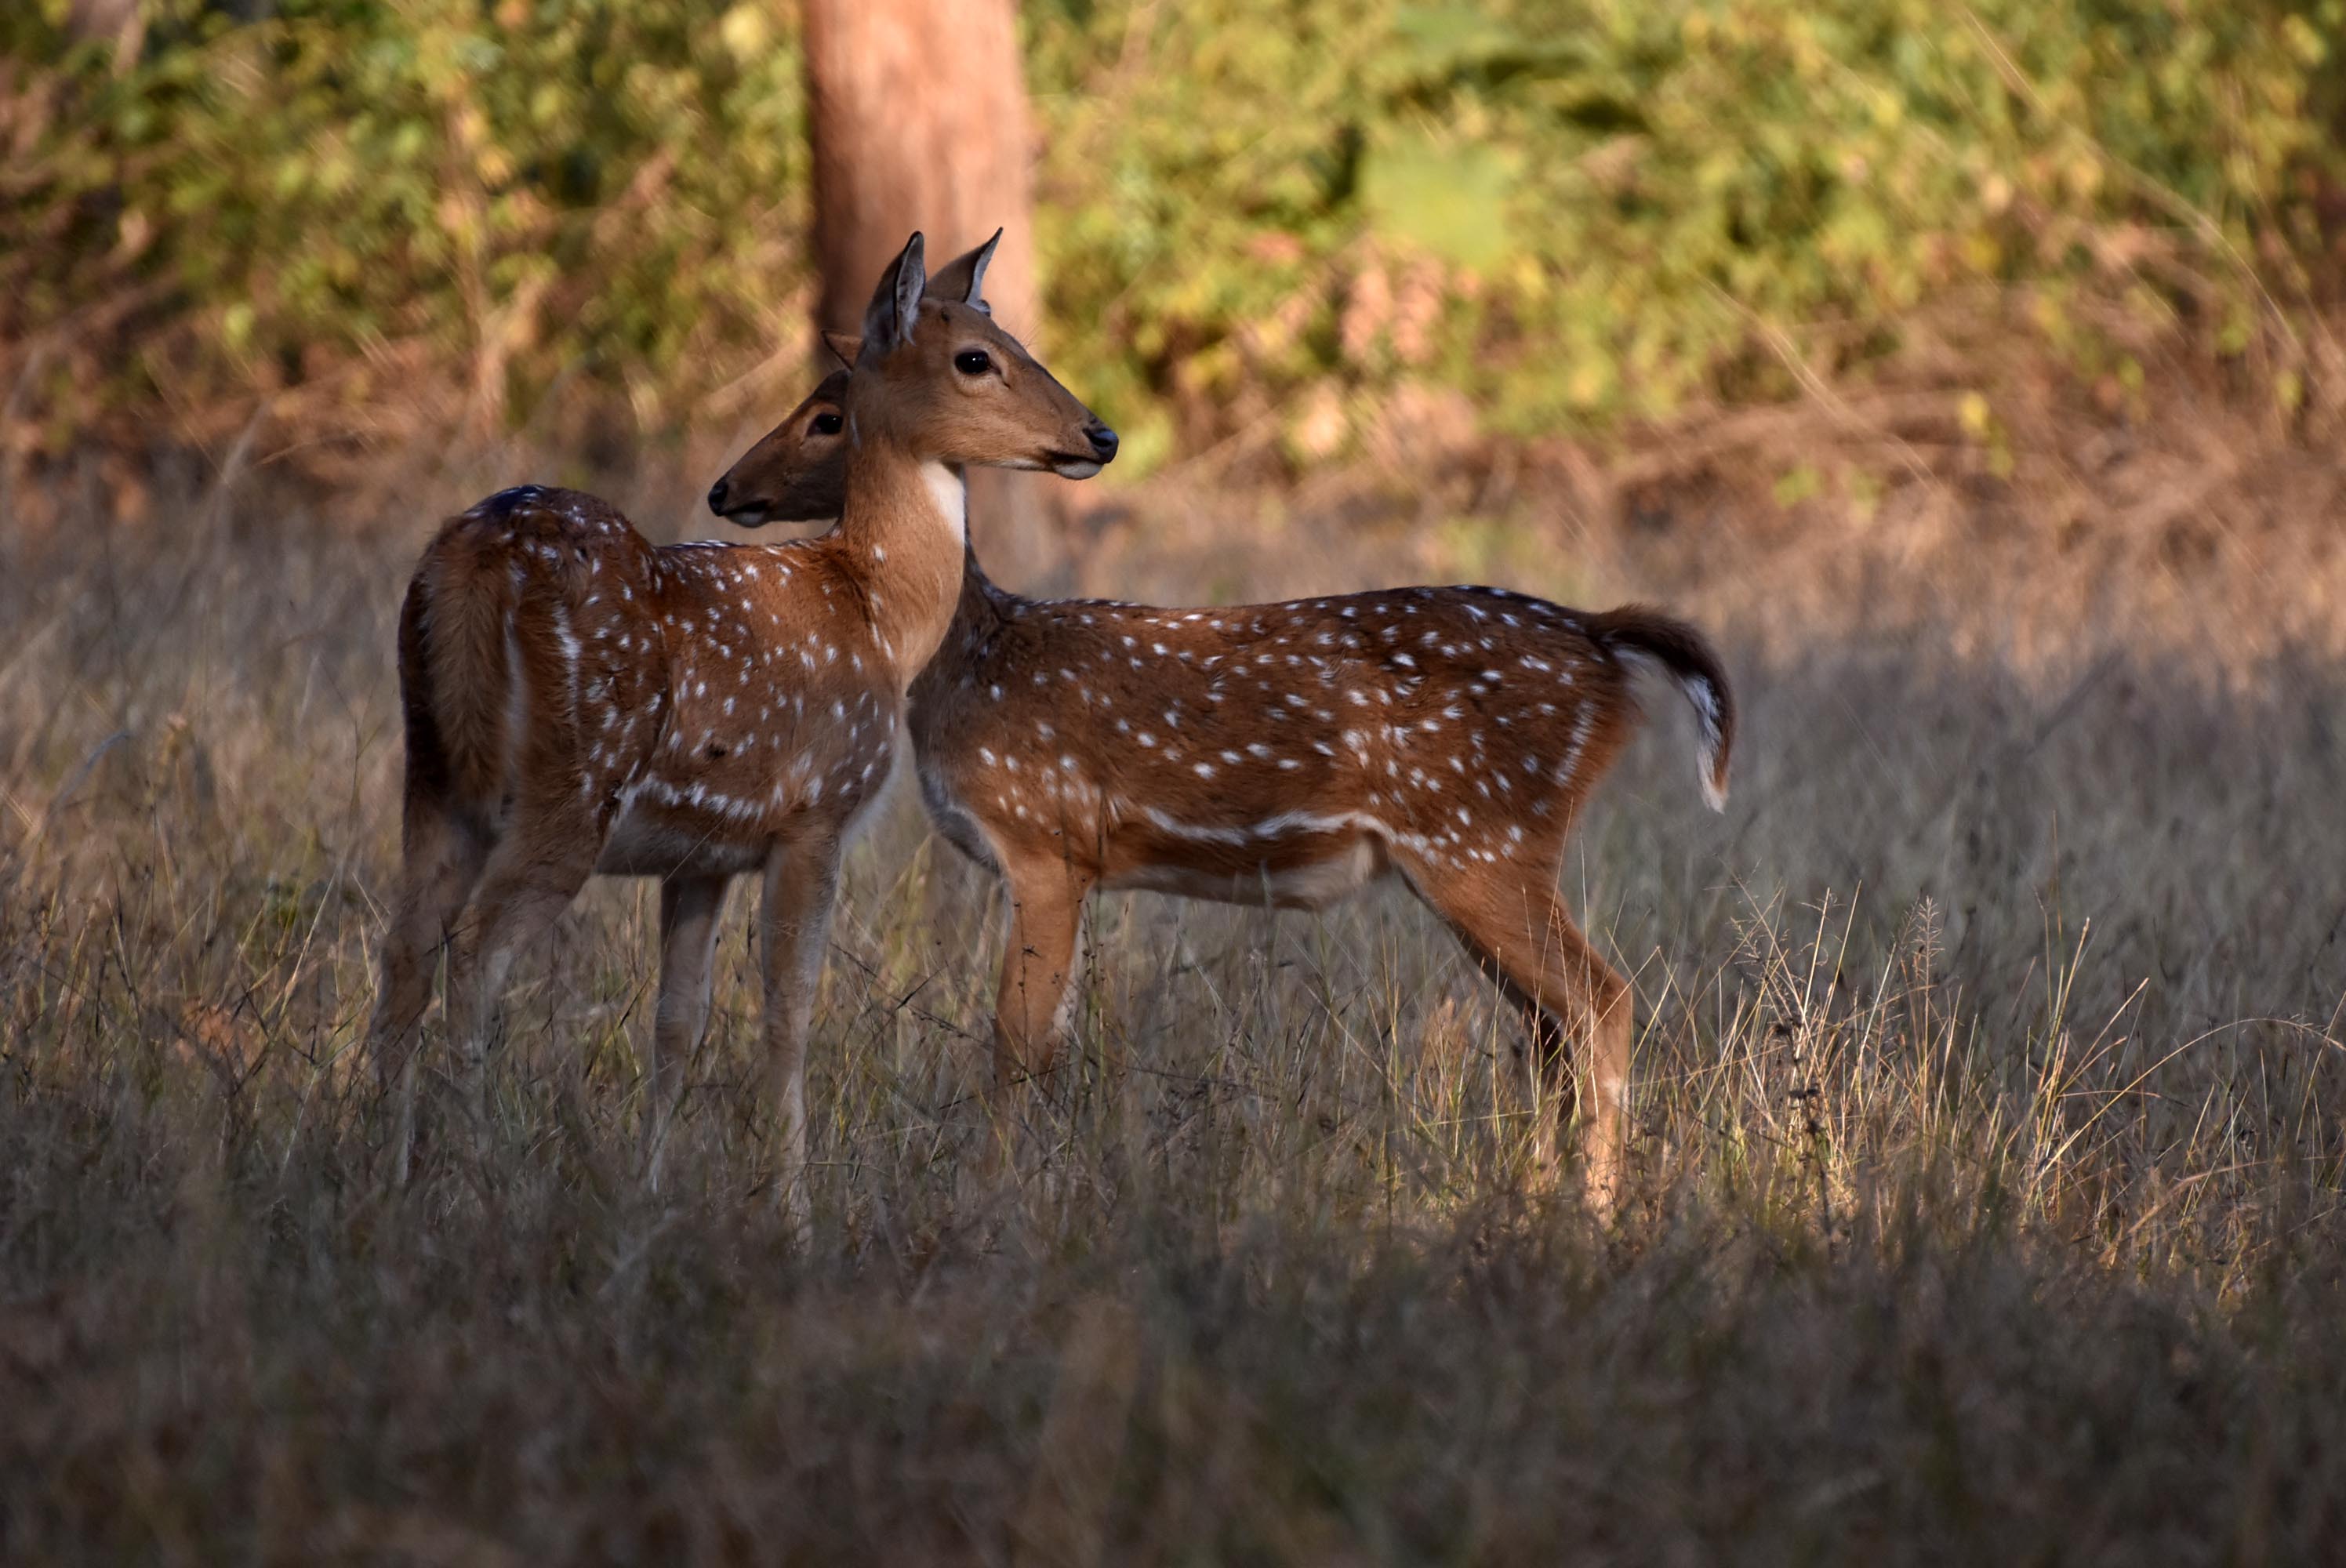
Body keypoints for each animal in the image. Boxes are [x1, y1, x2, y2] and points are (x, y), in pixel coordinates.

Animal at [703, 359, 1736, 1210]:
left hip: (1483, 837)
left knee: (1602, 1000)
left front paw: (992, 1204)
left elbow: (1015, 1043)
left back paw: (1593, 1214)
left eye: (829, 416)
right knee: (1551, 1029)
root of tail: (1601, 641)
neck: (971, 663)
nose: (724, 487)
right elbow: (1052, 1043)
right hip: (1485, 854)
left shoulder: (1045, 837)